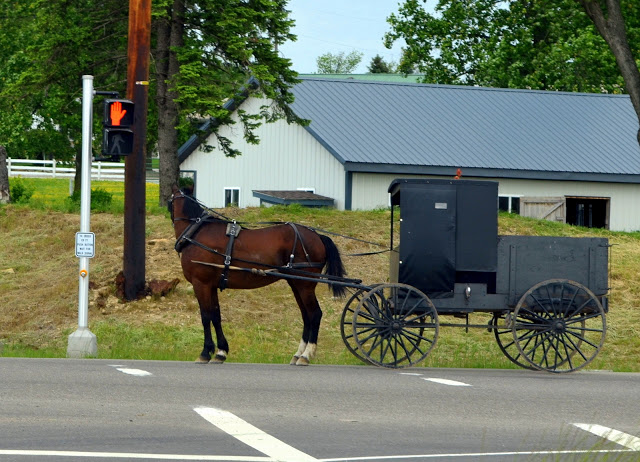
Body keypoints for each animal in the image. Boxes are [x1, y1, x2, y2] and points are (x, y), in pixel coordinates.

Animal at [165, 186, 344, 366]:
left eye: (169, 201)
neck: (196, 233)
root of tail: (317, 236)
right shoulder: (211, 285)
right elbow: (216, 316)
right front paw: (221, 352)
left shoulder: (201, 283)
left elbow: (205, 316)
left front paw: (205, 352)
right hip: (296, 284)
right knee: (306, 315)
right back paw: (298, 354)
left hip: (305, 286)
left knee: (315, 314)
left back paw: (306, 355)